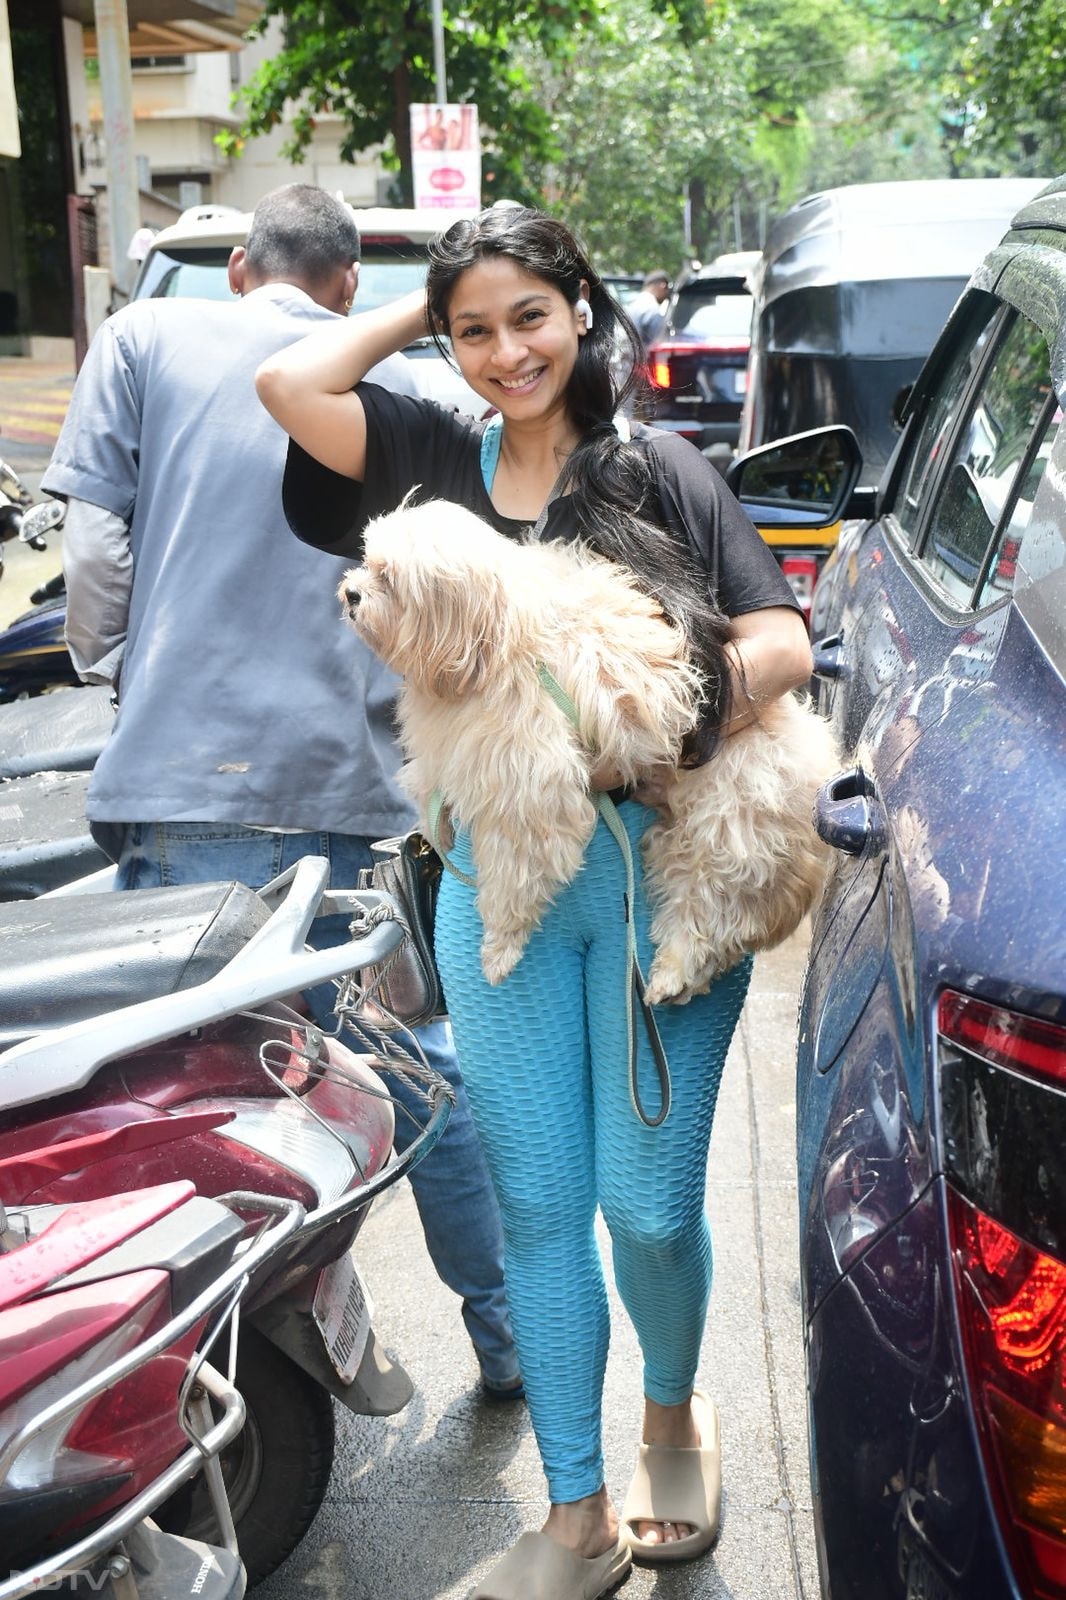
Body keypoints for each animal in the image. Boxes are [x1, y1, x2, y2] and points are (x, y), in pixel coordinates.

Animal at [340, 499, 838, 998]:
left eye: (389, 579)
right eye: (367, 562)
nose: (350, 593)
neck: (495, 637)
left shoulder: (528, 785)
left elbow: (512, 871)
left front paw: (500, 946)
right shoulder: (458, 744)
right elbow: (432, 783)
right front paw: (434, 828)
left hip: (724, 831)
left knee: (711, 908)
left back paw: (670, 973)